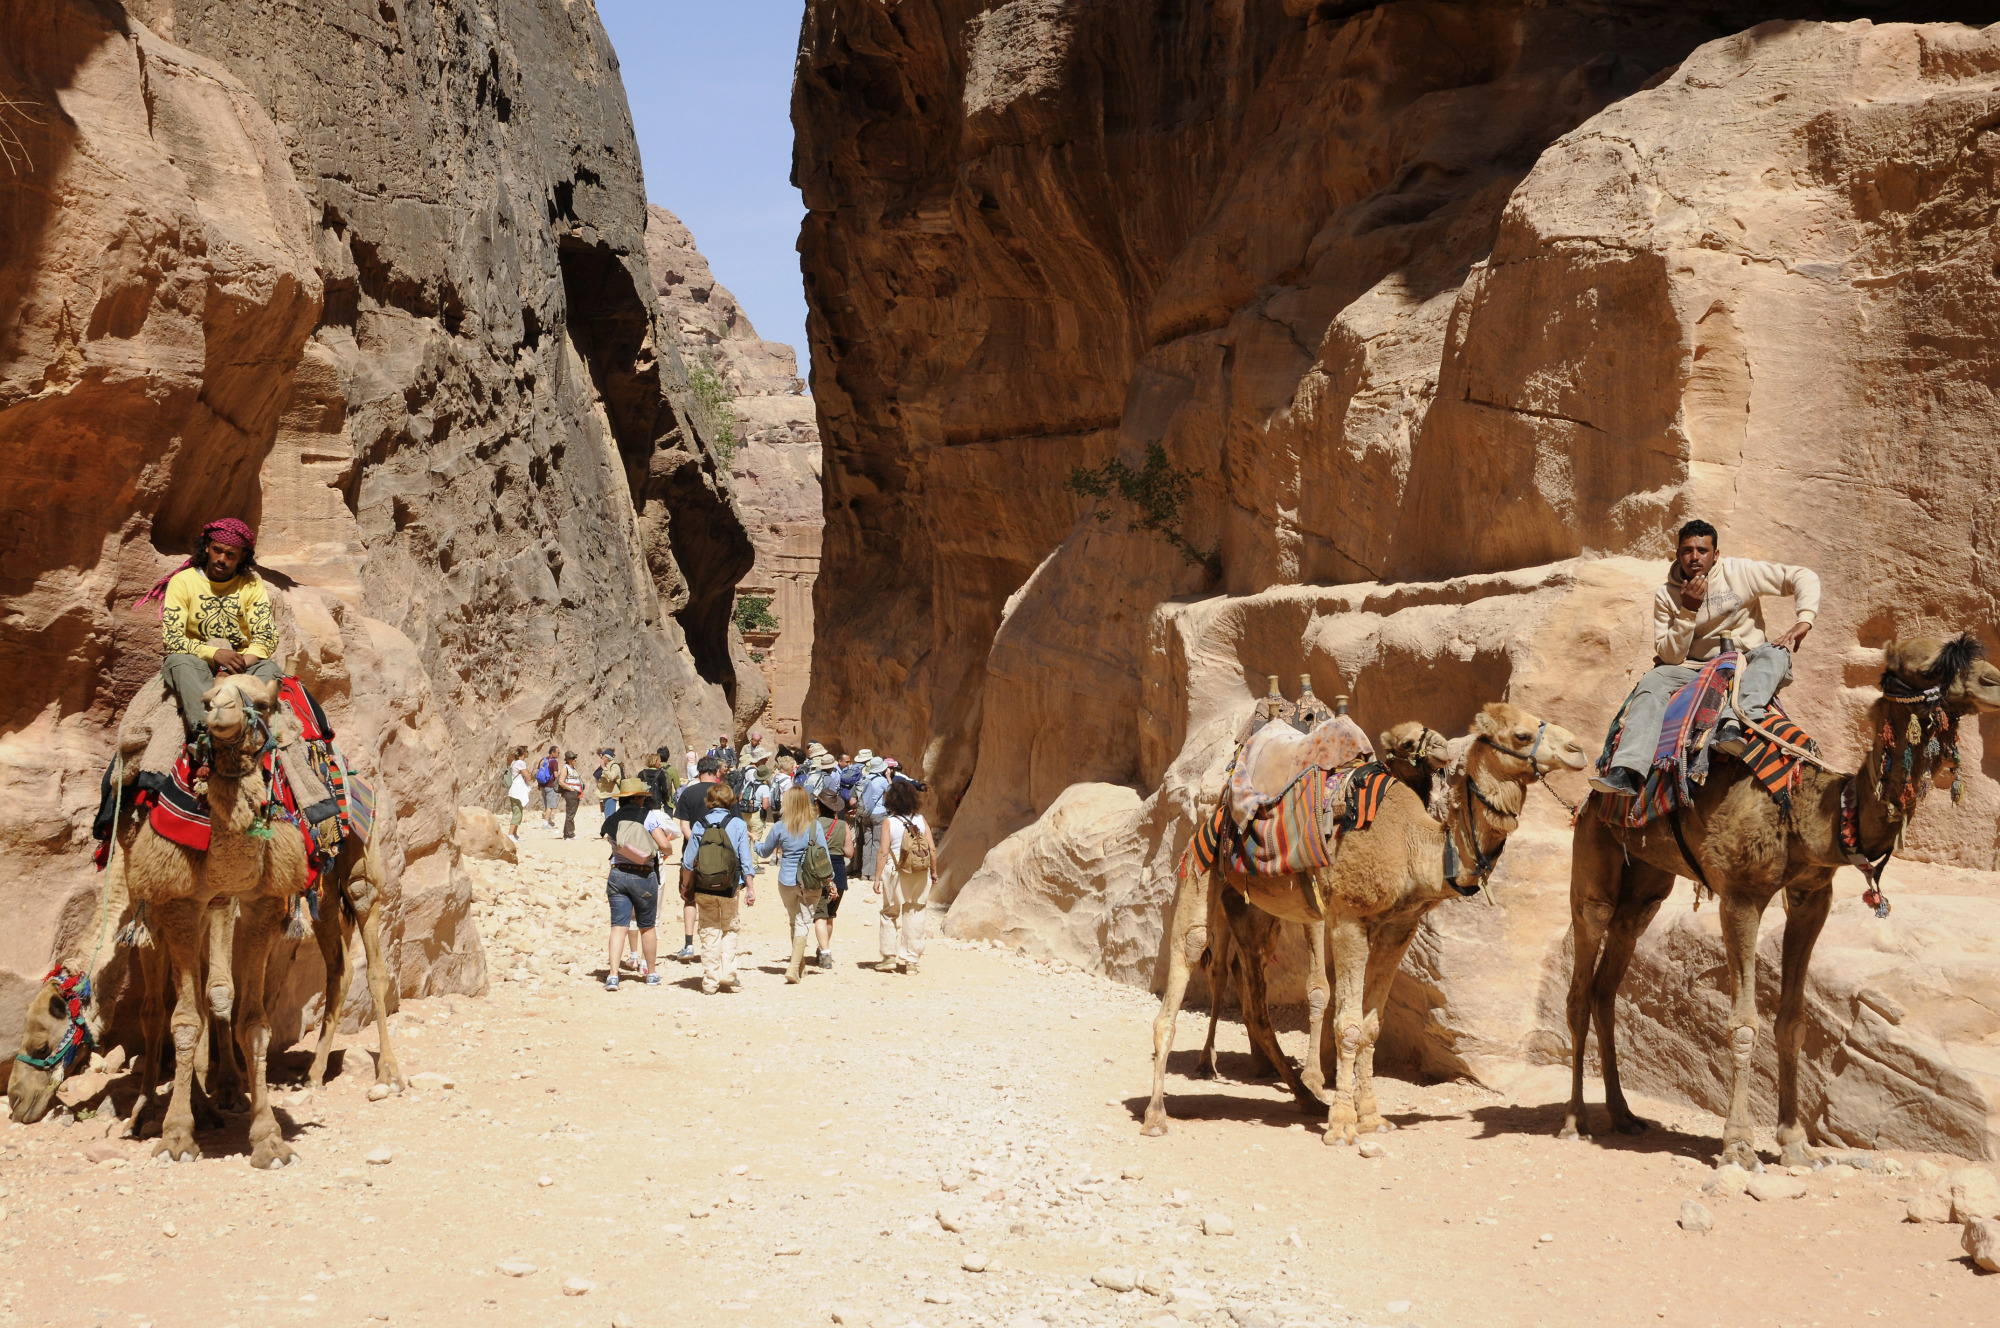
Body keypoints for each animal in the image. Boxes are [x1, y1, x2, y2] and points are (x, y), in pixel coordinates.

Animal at [1152, 704, 1584, 1144]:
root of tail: (1215, 812)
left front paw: (1372, 1118)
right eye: (1520, 734)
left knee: (1255, 1001)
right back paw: (1156, 1114)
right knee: (1187, 960)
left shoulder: (1399, 926)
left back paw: (1306, 1098)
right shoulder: (1348, 917)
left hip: (1253, 908)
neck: (1415, 846)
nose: (1577, 749)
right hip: (1201, 867)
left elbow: (1372, 1026)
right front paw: (1343, 1124)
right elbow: (1348, 1024)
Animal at [1560, 640, 2000, 1168]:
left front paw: (1794, 1144)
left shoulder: (1812, 896)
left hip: (1646, 882)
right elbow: (1743, 1023)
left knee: (1609, 979)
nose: (1994, 681)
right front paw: (1738, 1144)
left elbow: (1792, 1022)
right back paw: (1575, 1121)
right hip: (1593, 851)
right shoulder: (1741, 894)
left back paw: (1624, 1115)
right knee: (1583, 972)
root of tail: (1592, 790)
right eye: (1927, 666)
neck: (1809, 811)